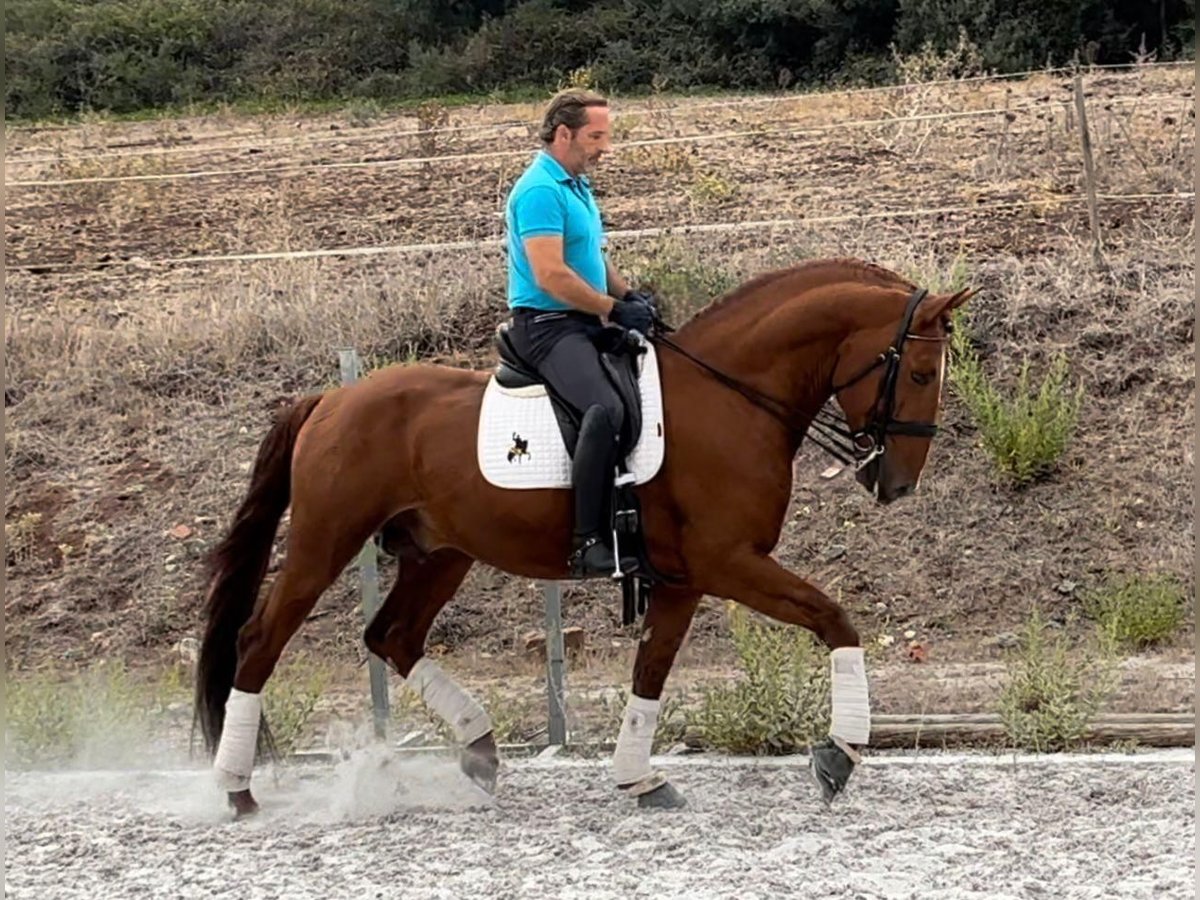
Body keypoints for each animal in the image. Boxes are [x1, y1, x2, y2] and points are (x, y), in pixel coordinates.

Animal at [189, 255, 974, 816]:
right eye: (921, 372)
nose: (898, 484)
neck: (730, 397)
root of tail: (331, 398)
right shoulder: (729, 562)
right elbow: (835, 618)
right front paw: (840, 753)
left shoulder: (685, 579)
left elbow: (651, 672)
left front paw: (637, 779)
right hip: (326, 542)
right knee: (261, 641)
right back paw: (236, 790)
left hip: (441, 553)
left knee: (393, 637)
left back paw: (480, 751)